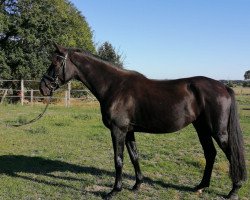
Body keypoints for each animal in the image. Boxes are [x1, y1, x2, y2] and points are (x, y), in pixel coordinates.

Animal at [40, 44, 247, 199]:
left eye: (56, 62)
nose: (43, 87)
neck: (114, 86)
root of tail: (224, 87)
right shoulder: (129, 131)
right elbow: (134, 156)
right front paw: (137, 185)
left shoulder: (118, 130)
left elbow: (118, 159)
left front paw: (114, 191)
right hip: (202, 128)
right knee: (210, 154)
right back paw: (200, 186)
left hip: (218, 132)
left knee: (231, 155)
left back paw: (233, 190)